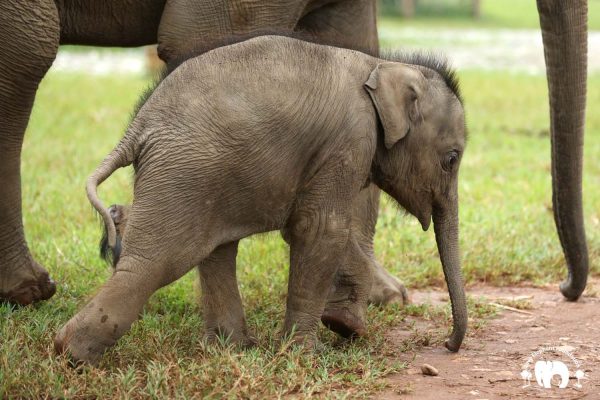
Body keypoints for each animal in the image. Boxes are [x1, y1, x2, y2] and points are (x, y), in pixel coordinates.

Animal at [0, 0, 592, 304]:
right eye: (451, 160)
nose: (564, 288)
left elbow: (351, 35)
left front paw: (378, 297)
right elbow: (216, 37)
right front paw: (364, 298)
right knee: (29, 50)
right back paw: (33, 288)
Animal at [55, 36, 468, 364]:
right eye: (452, 159)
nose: (448, 345)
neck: (382, 65)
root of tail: (136, 129)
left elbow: (304, 227)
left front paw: (346, 327)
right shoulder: (349, 140)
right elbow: (320, 228)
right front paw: (307, 354)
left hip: (203, 179)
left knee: (214, 249)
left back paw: (232, 348)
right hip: (185, 173)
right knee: (157, 261)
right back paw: (71, 354)